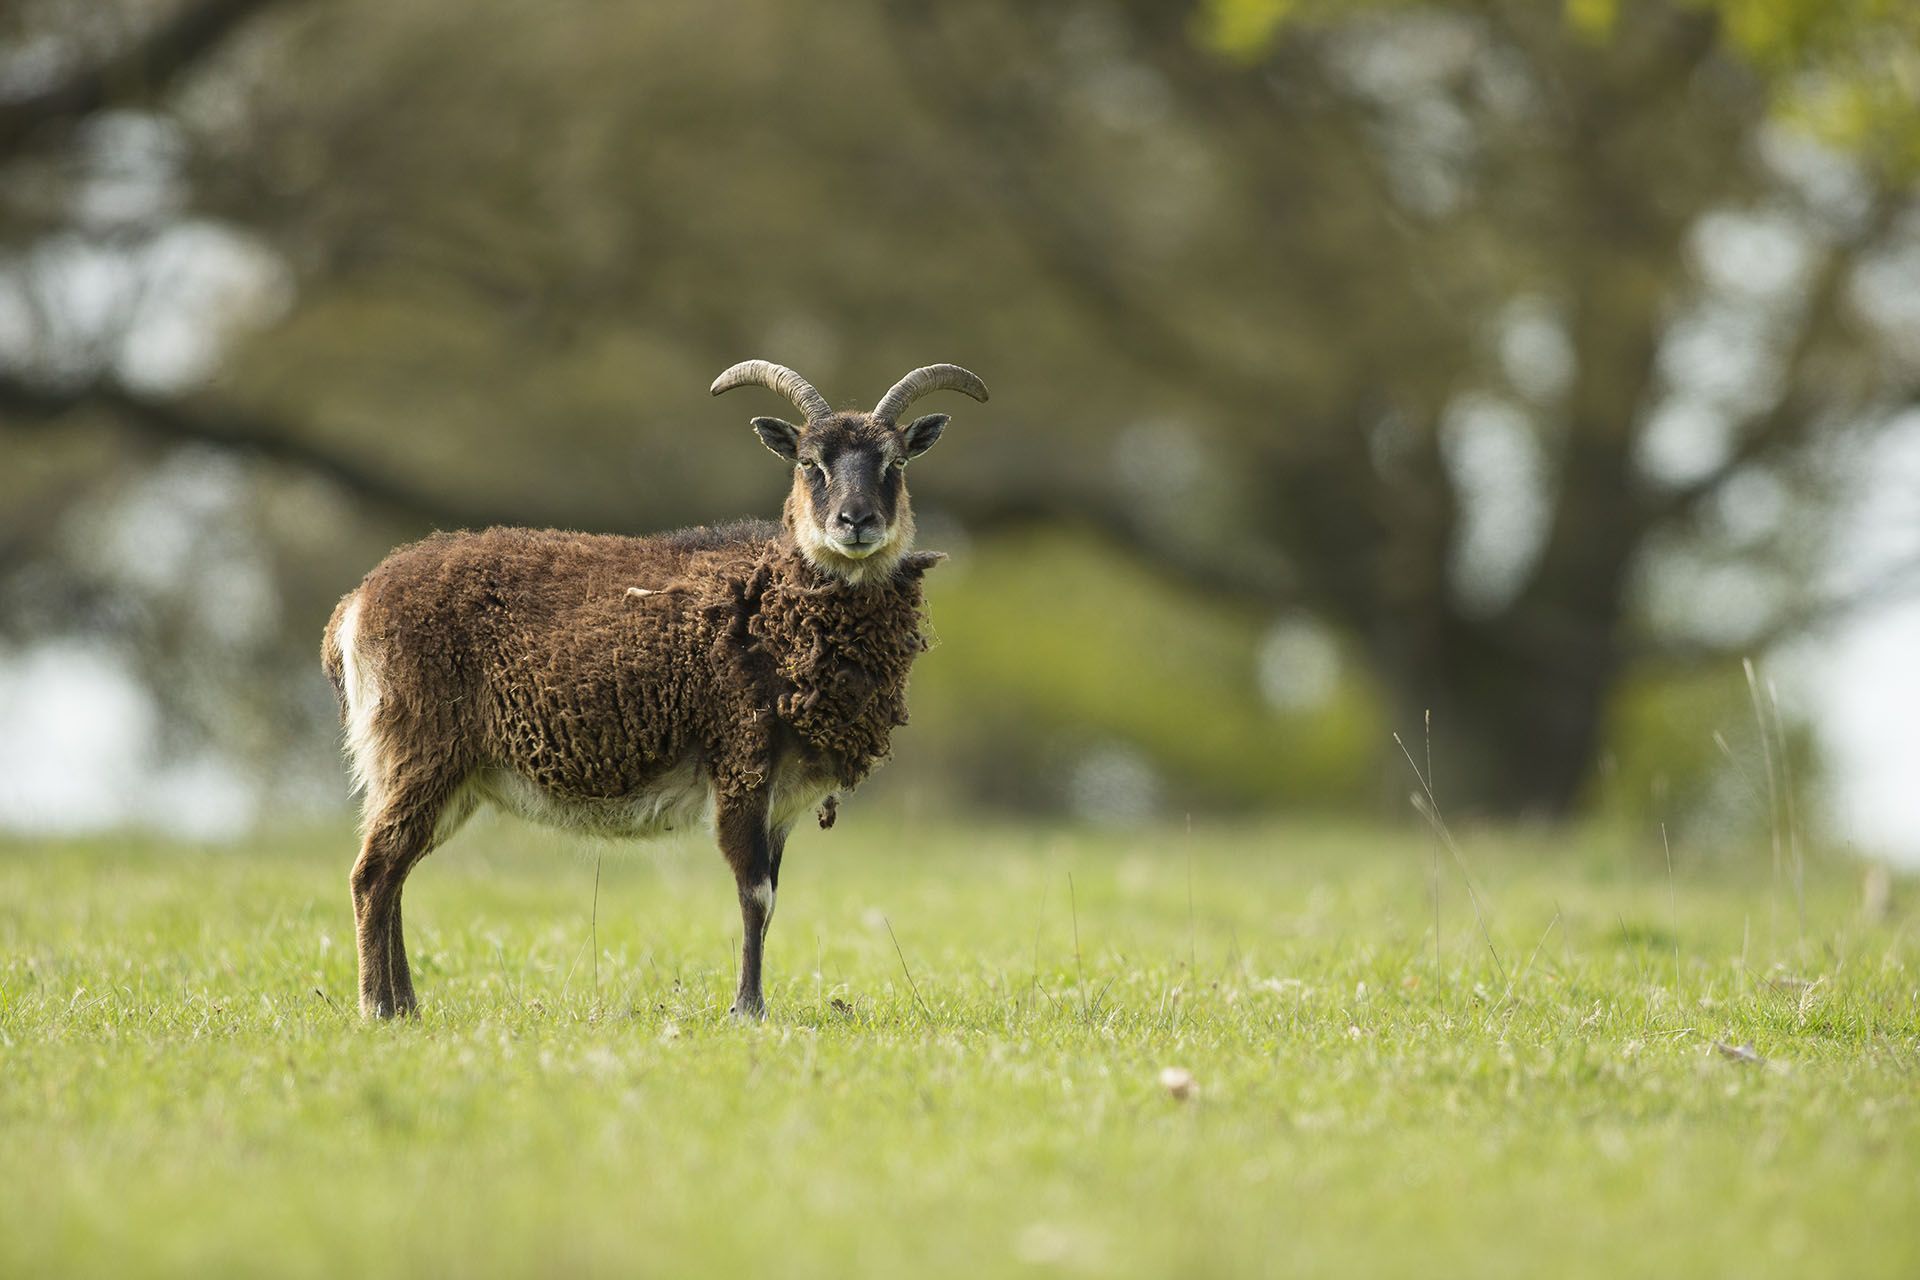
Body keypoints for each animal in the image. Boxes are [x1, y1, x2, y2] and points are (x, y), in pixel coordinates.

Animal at [320, 360, 988, 1019]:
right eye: (807, 461)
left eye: (895, 462)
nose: (856, 522)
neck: (774, 602)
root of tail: (355, 606)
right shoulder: (741, 761)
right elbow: (756, 893)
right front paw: (748, 1010)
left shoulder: (786, 797)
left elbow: (773, 894)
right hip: (416, 752)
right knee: (372, 873)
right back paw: (377, 1007)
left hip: (444, 775)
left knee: (394, 873)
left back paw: (405, 1007)